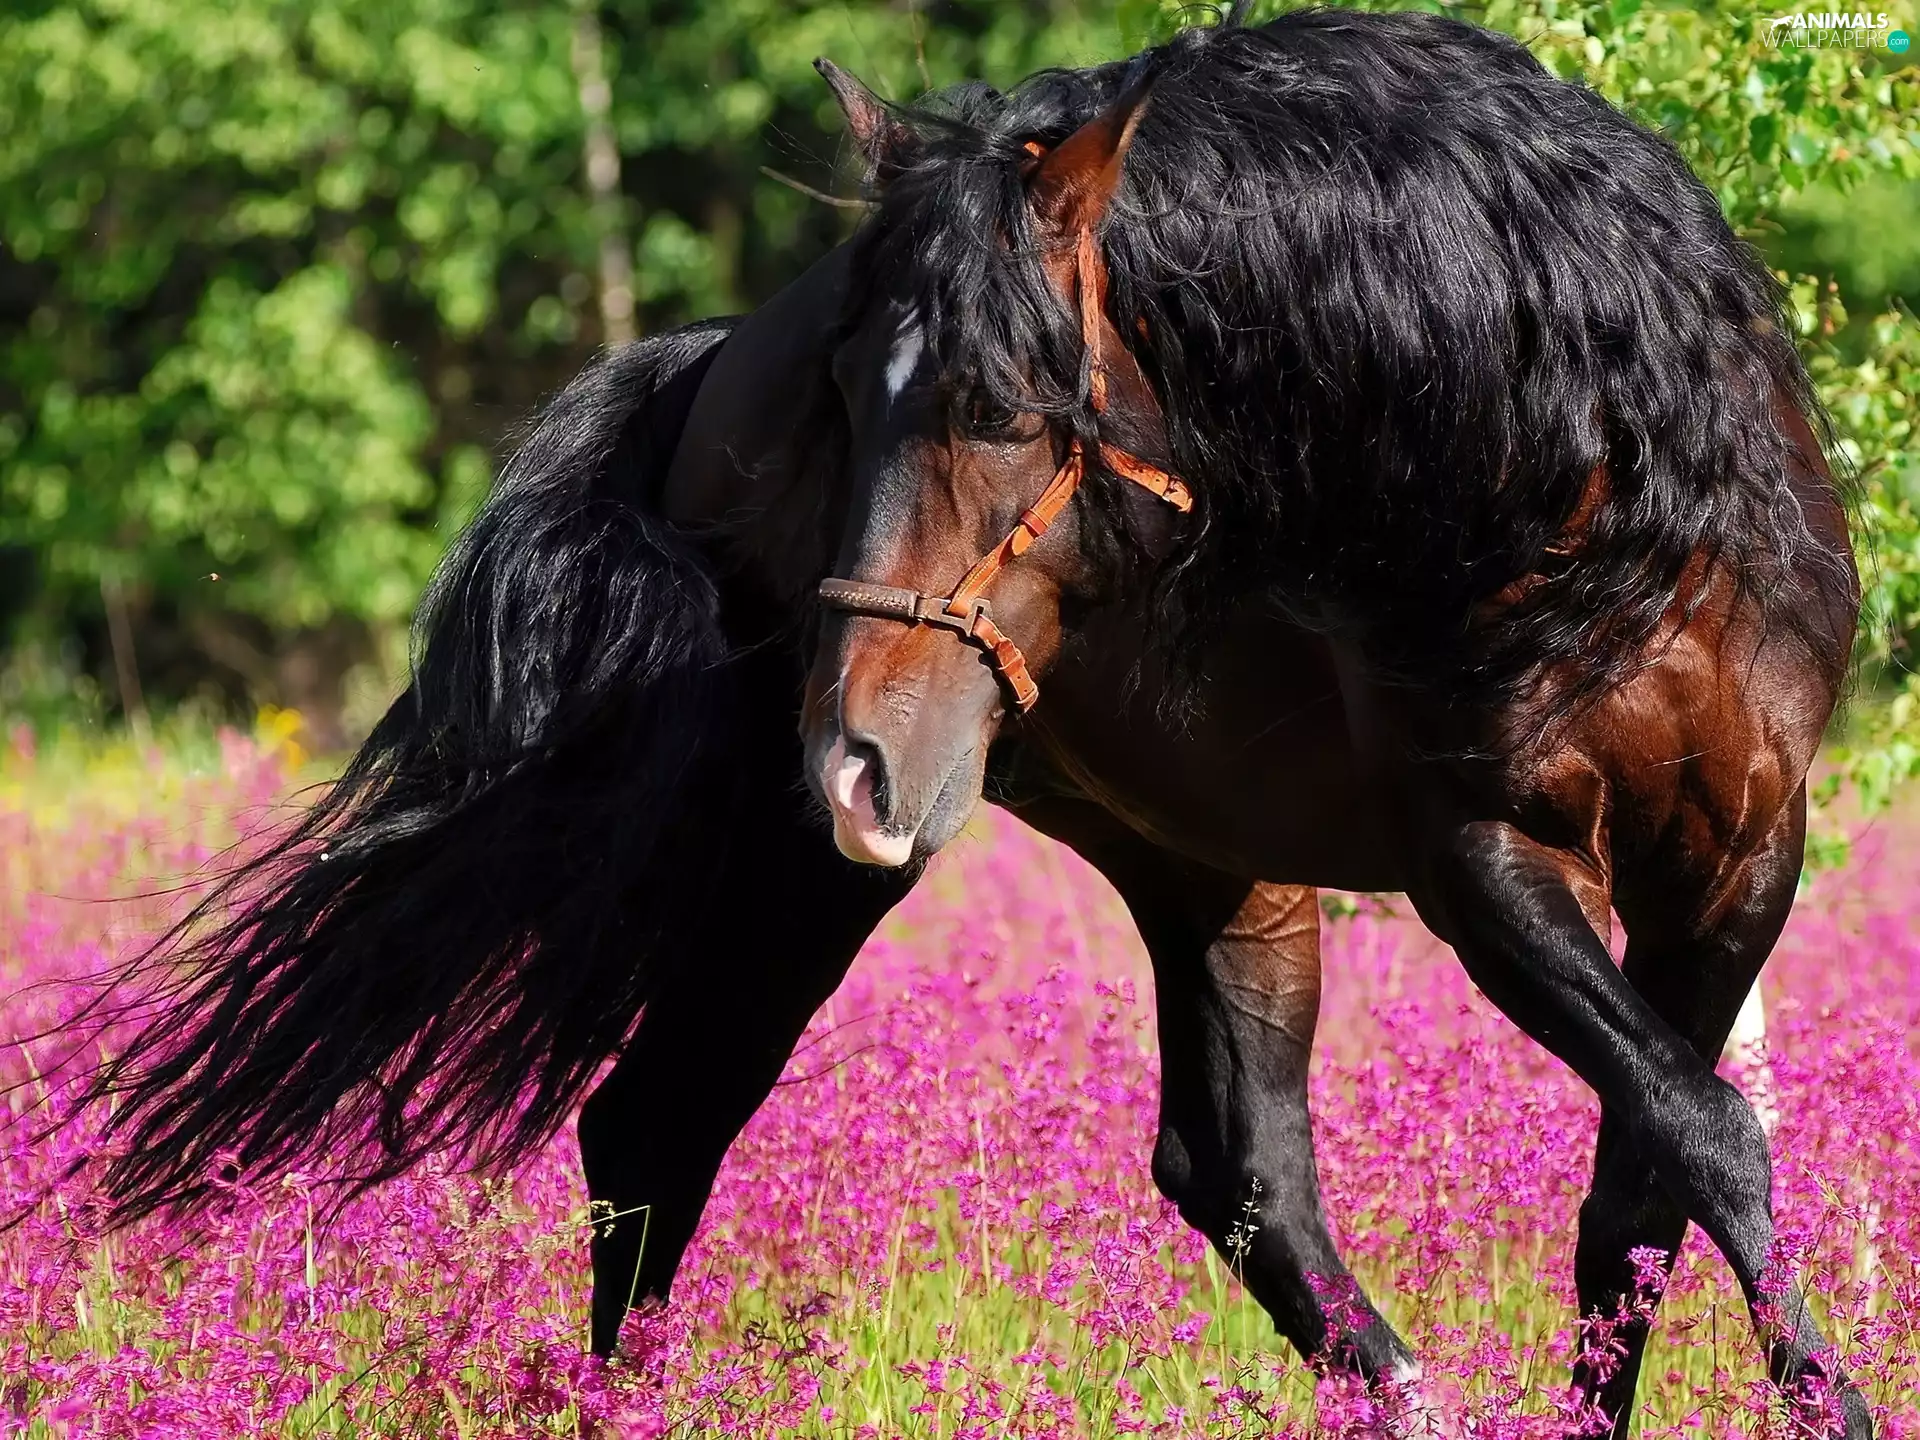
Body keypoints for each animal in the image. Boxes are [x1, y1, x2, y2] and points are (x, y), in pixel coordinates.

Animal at [799, 10, 1866, 1439]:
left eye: (994, 406)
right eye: (844, 389)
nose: (854, 767)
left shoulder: (1737, 863)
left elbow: (1645, 1186)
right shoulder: (1482, 866)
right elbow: (1703, 1131)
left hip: (1210, 865)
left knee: (1241, 1167)